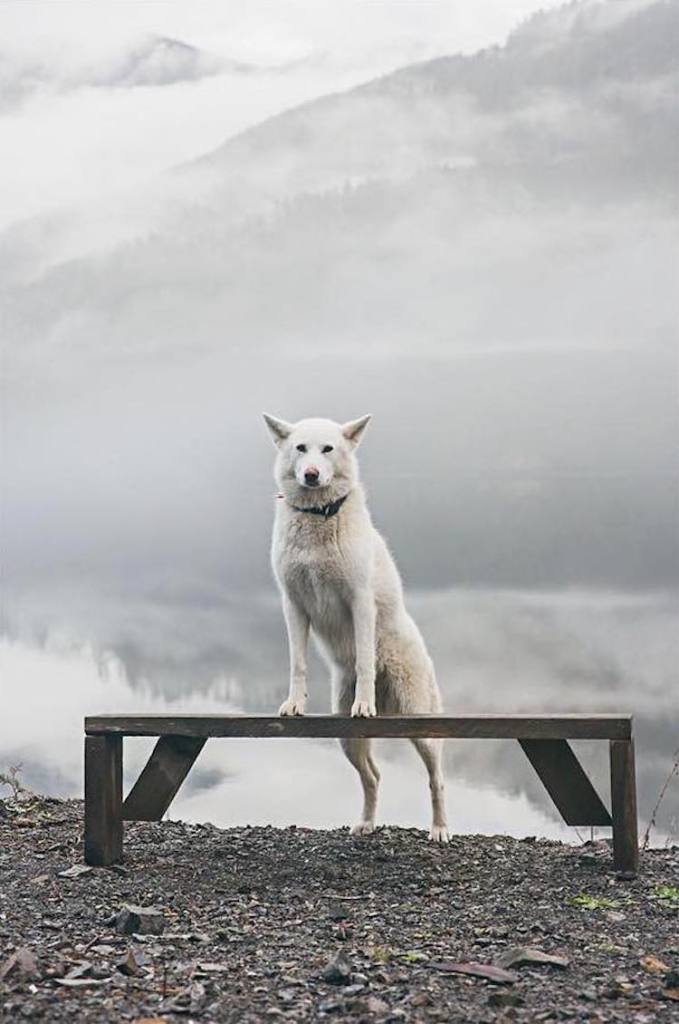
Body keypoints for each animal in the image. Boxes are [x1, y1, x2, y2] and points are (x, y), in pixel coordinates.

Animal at [262, 411, 448, 843]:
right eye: (301, 448)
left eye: (328, 449)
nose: (312, 474)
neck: (318, 515)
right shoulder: (293, 605)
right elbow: (298, 664)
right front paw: (294, 704)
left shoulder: (359, 602)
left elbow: (364, 658)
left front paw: (365, 704)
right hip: (345, 737)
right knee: (373, 776)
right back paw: (365, 823)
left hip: (421, 724)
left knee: (436, 779)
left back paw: (440, 829)